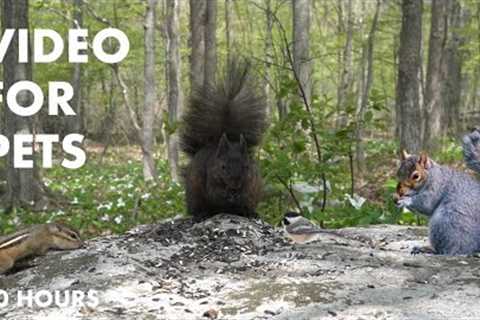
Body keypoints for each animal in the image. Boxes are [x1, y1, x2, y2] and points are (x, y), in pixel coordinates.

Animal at [181, 60, 270, 221]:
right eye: (222, 167)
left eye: (246, 167)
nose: (235, 185)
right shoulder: (210, 178)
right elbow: (215, 193)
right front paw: (227, 196)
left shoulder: (252, 181)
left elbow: (247, 192)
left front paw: (239, 196)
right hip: (195, 196)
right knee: (200, 208)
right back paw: (201, 214)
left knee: (247, 207)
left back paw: (250, 212)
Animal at [394, 127, 480, 255]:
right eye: (398, 172)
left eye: (416, 176)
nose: (400, 192)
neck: (431, 175)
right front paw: (395, 197)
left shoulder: (437, 187)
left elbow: (426, 204)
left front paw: (405, 201)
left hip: (446, 222)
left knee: (449, 250)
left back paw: (428, 249)